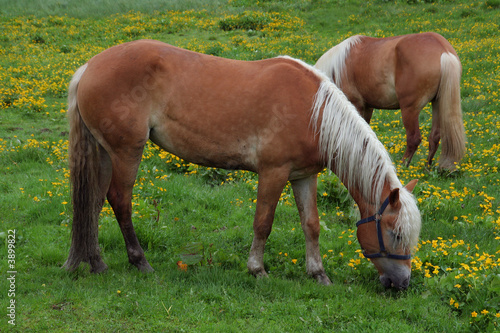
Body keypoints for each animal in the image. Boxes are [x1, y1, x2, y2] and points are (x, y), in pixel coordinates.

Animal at [63, 39, 422, 288]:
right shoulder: (273, 173)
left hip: (104, 152)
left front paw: (318, 273)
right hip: (127, 152)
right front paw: (257, 269)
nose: (402, 284)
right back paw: (139, 262)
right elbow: (263, 222)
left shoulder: (303, 176)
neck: (313, 112)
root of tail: (89, 67)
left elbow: (312, 224)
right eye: (395, 234)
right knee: (119, 201)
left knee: (93, 203)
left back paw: (96, 263)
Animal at [314, 32, 466, 170]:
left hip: (409, 110)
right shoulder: (367, 107)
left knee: (413, 139)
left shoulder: (356, 104)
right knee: (434, 137)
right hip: (437, 104)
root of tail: (443, 50)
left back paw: (402, 166)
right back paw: (426, 168)